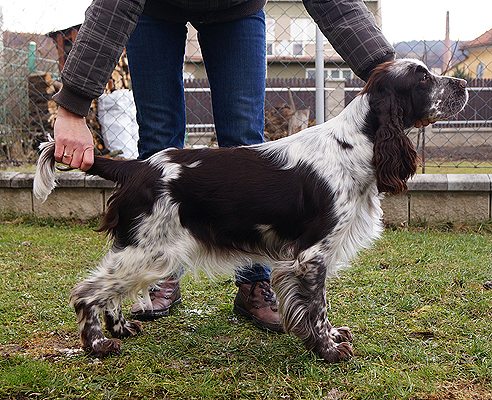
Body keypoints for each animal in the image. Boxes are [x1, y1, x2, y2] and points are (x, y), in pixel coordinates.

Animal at [35, 59, 468, 362]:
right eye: (423, 79)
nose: (462, 84)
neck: (357, 143)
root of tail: (137, 167)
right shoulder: (311, 255)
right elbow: (317, 306)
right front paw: (328, 349)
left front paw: (328, 339)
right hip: (150, 250)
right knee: (87, 292)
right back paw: (98, 345)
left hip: (144, 251)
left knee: (110, 290)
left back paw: (121, 328)